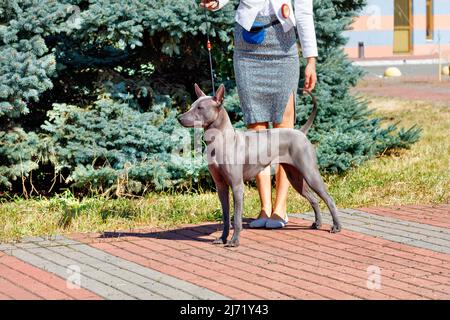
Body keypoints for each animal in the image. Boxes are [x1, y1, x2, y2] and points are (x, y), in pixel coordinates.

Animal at [179, 83, 342, 248]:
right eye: (192, 106)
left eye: (200, 108)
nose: (179, 118)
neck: (220, 140)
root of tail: (300, 133)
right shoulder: (221, 186)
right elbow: (225, 217)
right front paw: (223, 238)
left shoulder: (237, 186)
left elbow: (236, 218)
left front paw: (234, 241)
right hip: (294, 177)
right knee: (314, 199)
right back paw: (318, 223)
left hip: (310, 173)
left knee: (329, 199)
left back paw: (336, 226)